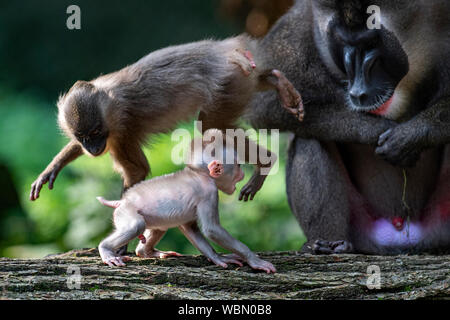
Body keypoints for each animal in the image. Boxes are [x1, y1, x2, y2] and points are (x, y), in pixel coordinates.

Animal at [29, 33, 304, 202]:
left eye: (96, 133)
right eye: (83, 137)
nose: (93, 148)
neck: (109, 102)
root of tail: (227, 53)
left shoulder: (123, 130)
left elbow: (138, 171)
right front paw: (54, 166)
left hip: (229, 81)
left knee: (210, 125)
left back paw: (266, 162)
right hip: (242, 78)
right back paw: (277, 82)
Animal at [96, 129, 276, 274]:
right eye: (238, 166)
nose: (242, 174)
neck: (201, 174)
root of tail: (121, 202)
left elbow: (189, 227)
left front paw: (216, 257)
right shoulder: (209, 193)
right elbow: (212, 230)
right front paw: (254, 260)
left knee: (160, 227)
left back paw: (147, 252)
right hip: (125, 213)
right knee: (136, 225)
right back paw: (106, 251)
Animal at [248, 0, 448, 255]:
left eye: (371, 44)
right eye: (344, 43)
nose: (358, 90)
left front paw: (408, 138)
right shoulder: (301, 23)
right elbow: (263, 103)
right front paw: (376, 131)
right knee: (308, 138)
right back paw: (328, 244)